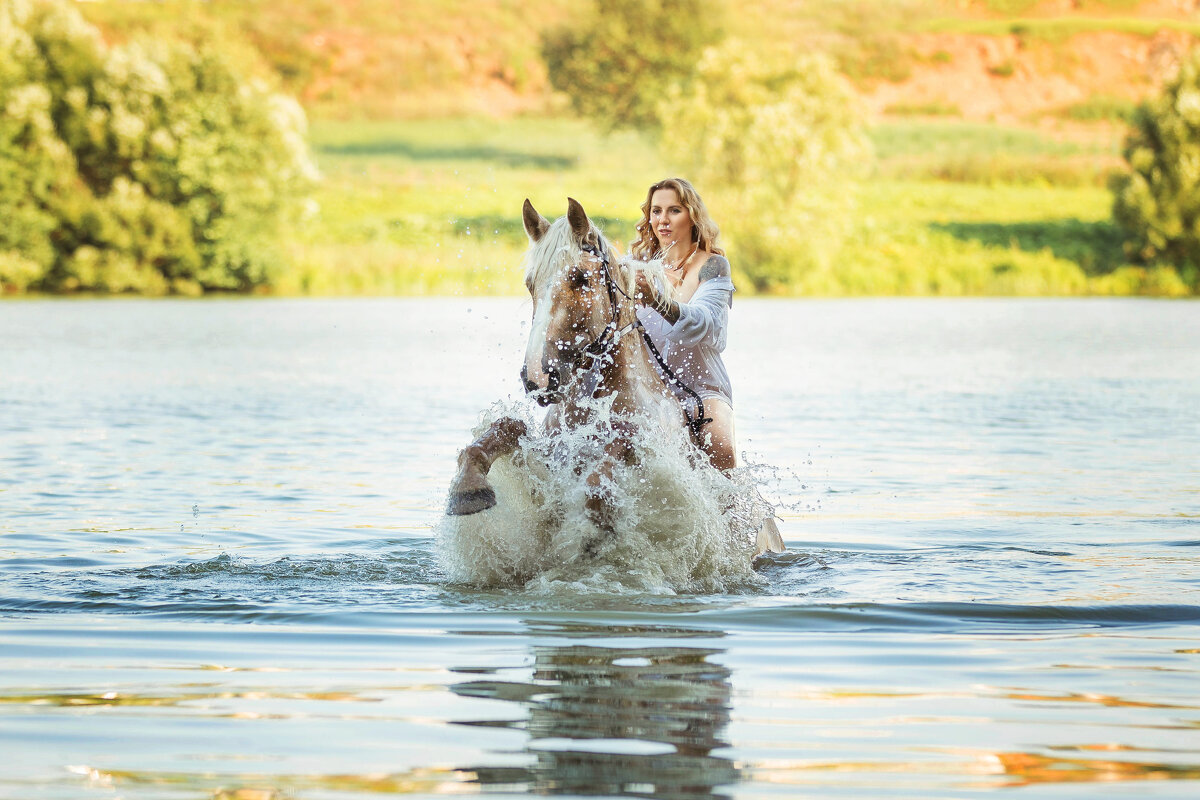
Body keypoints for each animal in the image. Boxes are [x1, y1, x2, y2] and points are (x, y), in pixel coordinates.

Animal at [446, 199, 782, 563]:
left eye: (579, 278)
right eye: (530, 283)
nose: (537, 378)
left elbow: (607, 470)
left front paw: (591, 533)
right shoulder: (545, 460)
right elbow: (503, 430)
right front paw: (467, 490)